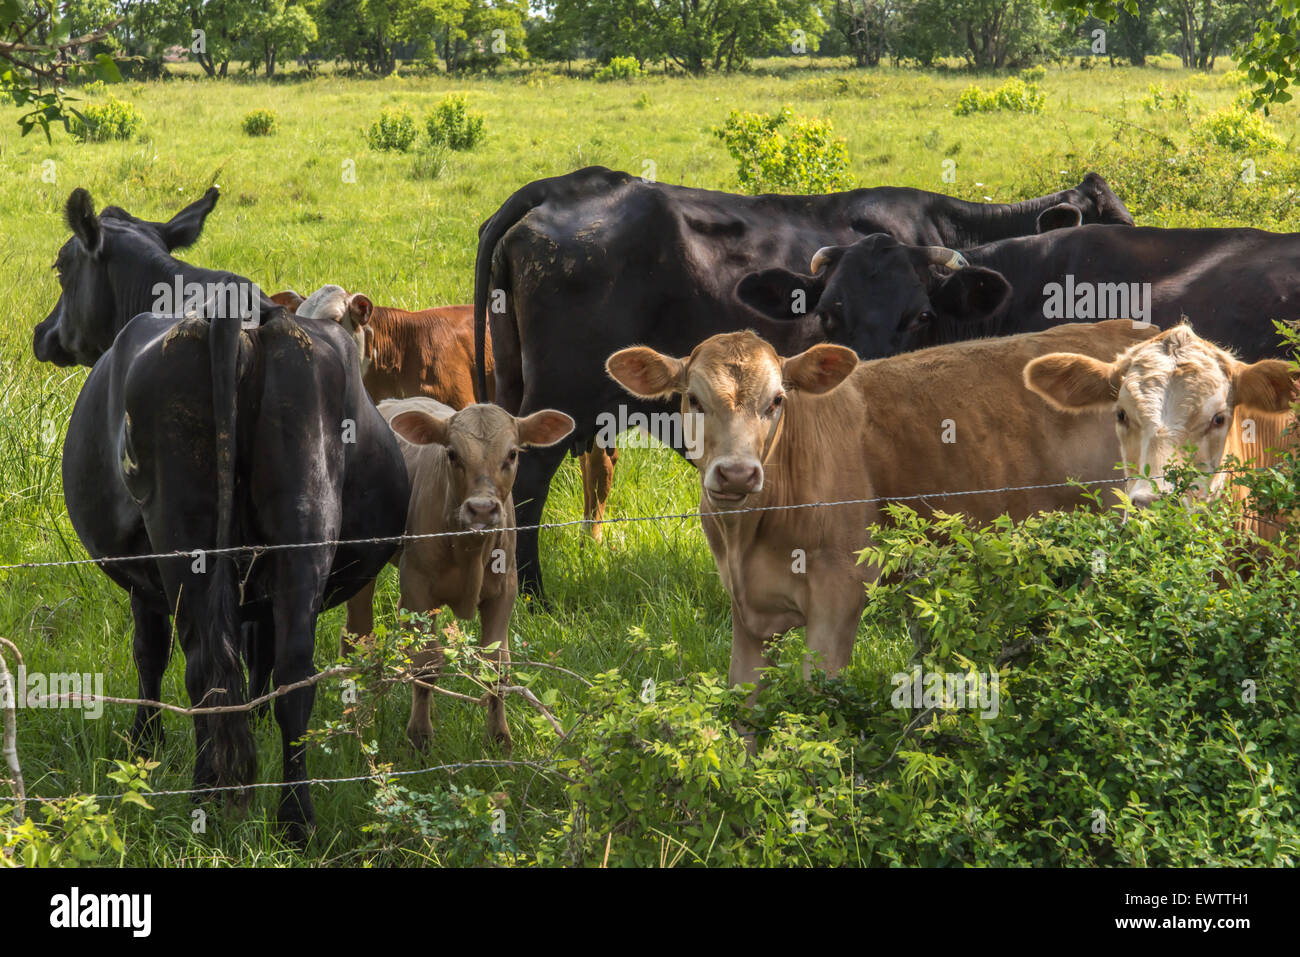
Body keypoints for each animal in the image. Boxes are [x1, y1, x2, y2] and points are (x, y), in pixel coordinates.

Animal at [32, 188, 409, 843]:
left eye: (62, 268)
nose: (41, 333)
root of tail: (238, 315)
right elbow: (259, 657)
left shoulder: (143, 575)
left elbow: (149, 653)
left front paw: (143, 748)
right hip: (305, 521)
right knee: (293, 673)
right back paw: (294, 819)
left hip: (182, 538)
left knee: (203, 666)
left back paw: (208, 797)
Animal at [342, 398, 573, 752]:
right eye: (452, 454)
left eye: (512, 454)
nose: (482, 509)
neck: (470, 551)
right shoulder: (416, 587)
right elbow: (425, 664)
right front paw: (420, 737)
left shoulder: (504, 589)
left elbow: (496, 665)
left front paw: (499, 738)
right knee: (358, 635)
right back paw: (359, 715)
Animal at [473, 166, 1134, 598]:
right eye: (830, 317)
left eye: (918, 316)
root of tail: (563, 187)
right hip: (564, 397)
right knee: (528, 485)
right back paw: (534, 594)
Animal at [604, 320, 1159, 695]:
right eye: (694, 400)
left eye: (777, 401)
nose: (737, 474)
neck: (748, 534)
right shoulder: (746, 610)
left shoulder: (840, 591)